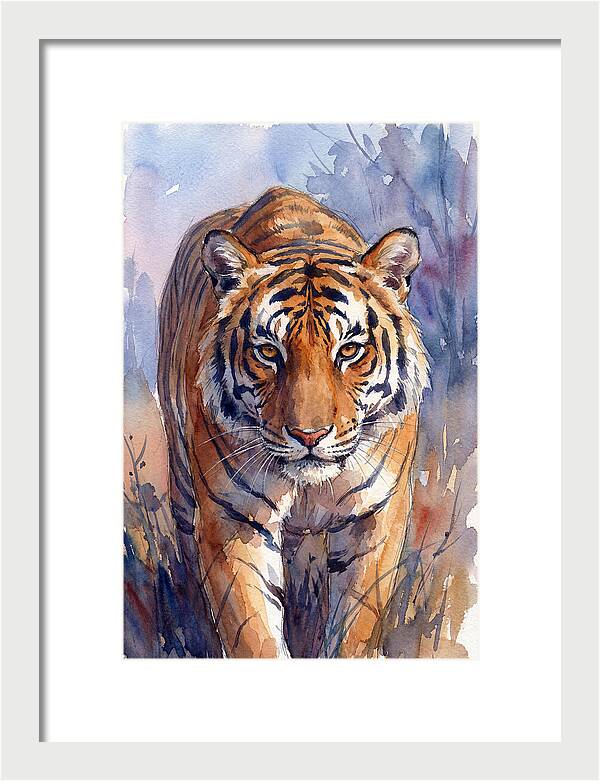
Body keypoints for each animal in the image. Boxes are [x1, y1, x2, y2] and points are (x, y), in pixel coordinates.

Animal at [157, 186, 429, 658]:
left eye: (349, 350)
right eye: (269, 352)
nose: (309, 435)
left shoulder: (377, 516)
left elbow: (356, 624)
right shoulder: (234, 517)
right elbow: (253, 633)